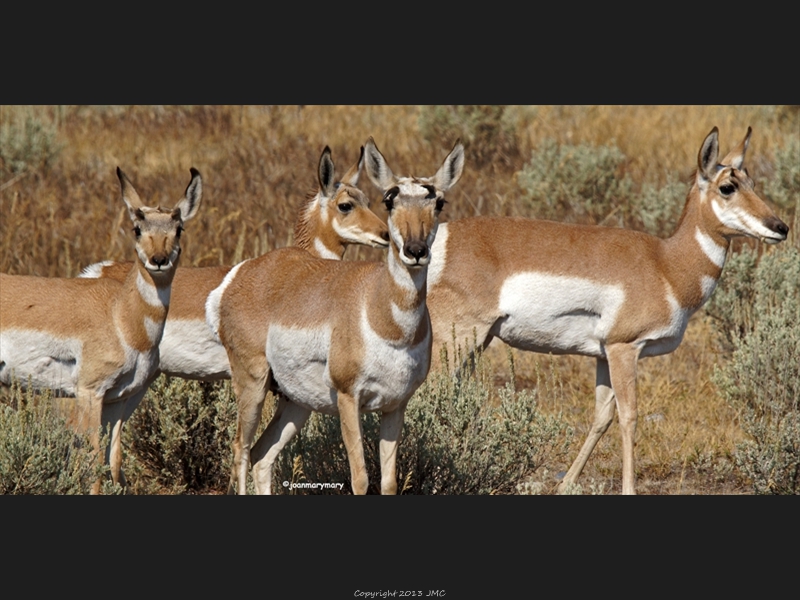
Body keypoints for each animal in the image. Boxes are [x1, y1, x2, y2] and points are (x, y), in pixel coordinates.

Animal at [0, 165, 200, 492]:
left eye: (178, 228)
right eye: (137, 228)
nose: (158, 260)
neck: (121, 315)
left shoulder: (118, 399)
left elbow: (113, 461)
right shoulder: (90, 394)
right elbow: (92, 463)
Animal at [209, 138, 466, 494]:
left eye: (438, 202)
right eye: (389, 200)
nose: (414, 250)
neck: (382, 314)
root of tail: (246, 272)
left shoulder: (394, 406)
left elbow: (388, 481)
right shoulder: (348, 400)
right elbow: (360, 477)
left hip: (296, 403)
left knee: (262, 455)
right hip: (253, 384)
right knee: (241, 451)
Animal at [424, 125, 788, 492]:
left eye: (752, 182)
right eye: (728, 186)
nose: (781, 227)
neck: (666, 264)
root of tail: (440, 239)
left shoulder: (603, 355)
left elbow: (602, 417)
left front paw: (566, 484)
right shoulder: (624, 348)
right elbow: (629, 417)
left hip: (476, 344)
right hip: (457, 340)